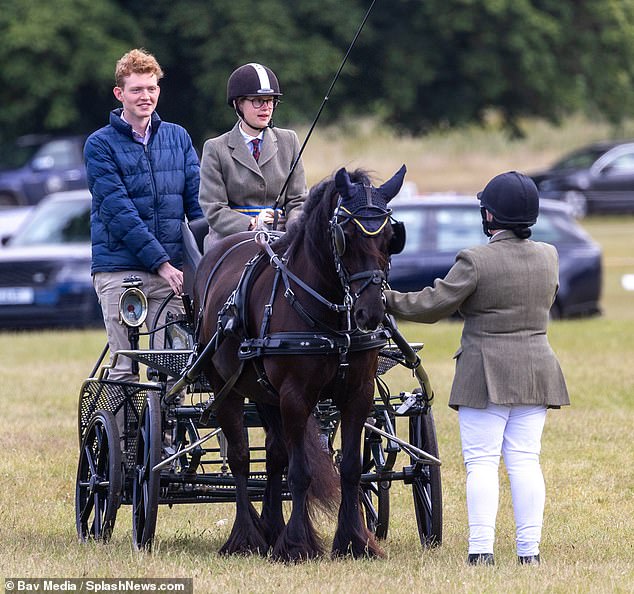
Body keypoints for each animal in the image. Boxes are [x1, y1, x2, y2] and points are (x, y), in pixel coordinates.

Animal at [194, 164, 404, 556]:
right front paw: (296, 544)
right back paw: (245, 537)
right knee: (241, 459)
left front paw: (354, 541)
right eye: (346, 235)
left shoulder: (359, 394)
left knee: (274, 455)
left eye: (390, 237)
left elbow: (350, 468)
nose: (370, 312)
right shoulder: (295, 396)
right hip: (225, 386)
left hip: (263, 392)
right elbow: (300, 472)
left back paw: (270, 528)